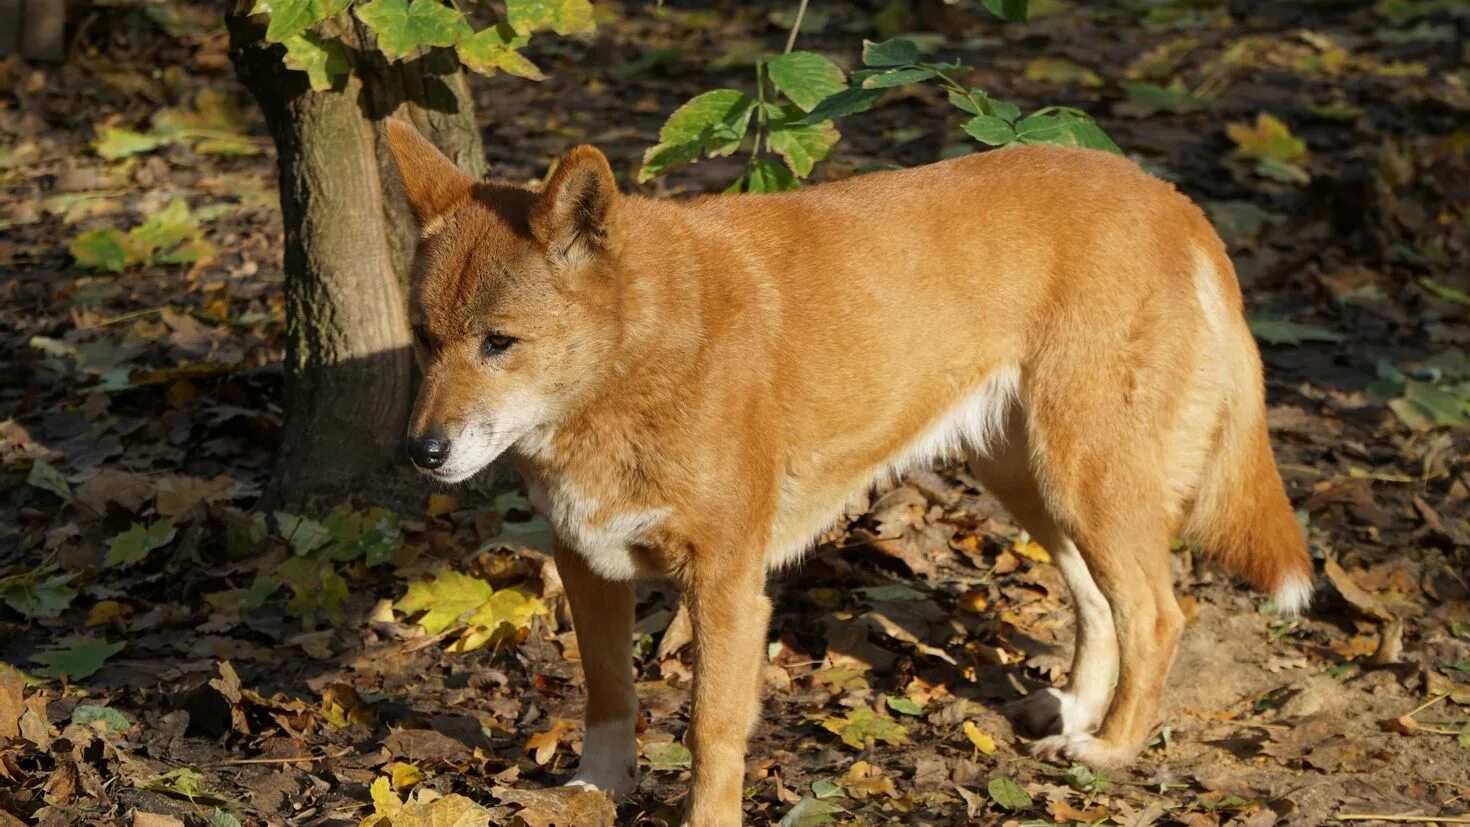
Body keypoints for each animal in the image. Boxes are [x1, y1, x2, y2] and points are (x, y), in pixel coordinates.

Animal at [385, 118, 1317, 827]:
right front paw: (596, 789)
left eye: (499, 342)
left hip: (1088, 473)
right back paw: (1077, 707)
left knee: (1156, 613)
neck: (635, 360)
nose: (419, 452)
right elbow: (609, 694)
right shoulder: (588, 562)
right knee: (1097, 599)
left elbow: (710, 734)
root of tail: (1169, 198)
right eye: (424, 338)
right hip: (1032, 478)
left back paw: (1112, 744)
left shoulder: (726, 585)